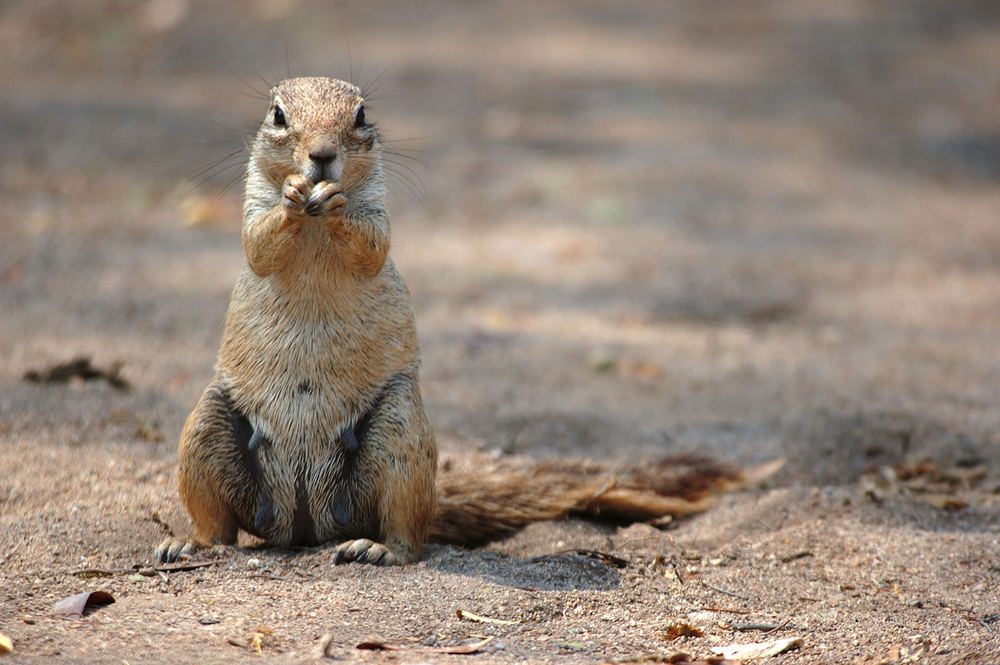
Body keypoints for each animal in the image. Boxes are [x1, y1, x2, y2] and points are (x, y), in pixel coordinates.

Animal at [158, 78, 764, 564]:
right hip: (207, 431)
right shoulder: (253, 208)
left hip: (399, 434)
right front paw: (292, 195)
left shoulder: (377, 212)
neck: (313, 227)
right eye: (278, 115)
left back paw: (376, 548)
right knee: (222, 529)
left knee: (408, 534)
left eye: (361, 114)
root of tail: (308, 525)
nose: (323, 156)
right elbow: (259, 244)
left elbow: (370, 246)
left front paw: (334, 203)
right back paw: (188, 543)